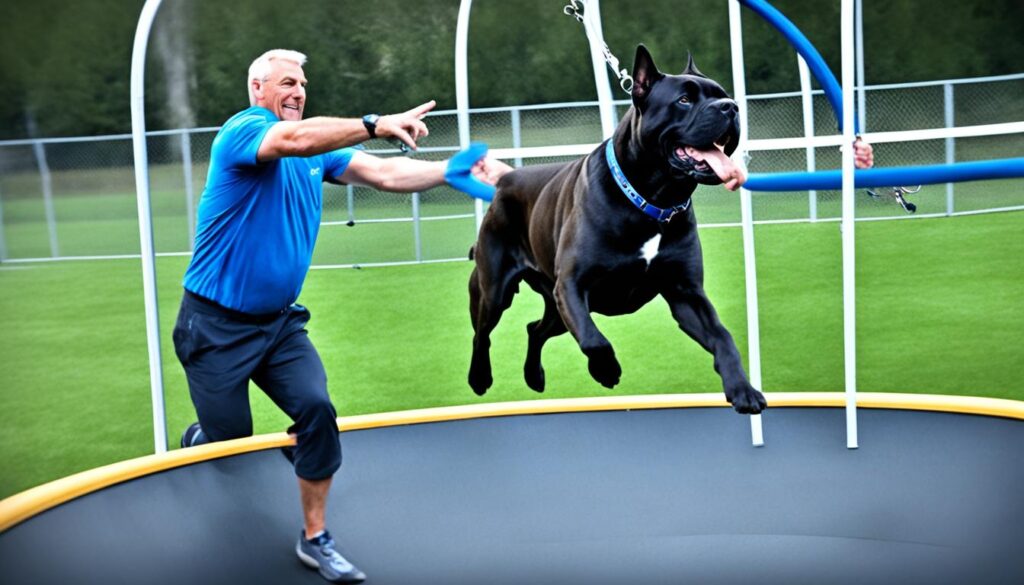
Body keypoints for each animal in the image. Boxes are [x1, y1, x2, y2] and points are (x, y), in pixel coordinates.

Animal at [468, 45, 765, 413]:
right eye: (684, 100)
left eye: (724, 95)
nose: (730, 107)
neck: (653, 199)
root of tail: (506, 180)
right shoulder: (572, 286)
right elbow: (594, 339)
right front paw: (607, 370)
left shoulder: (686, 294)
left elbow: (723, 336)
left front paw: (742, 389)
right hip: (496, 290)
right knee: (482, 333)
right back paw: (479, 378)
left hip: (555, 309)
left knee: (534, 329)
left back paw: (533, 376)